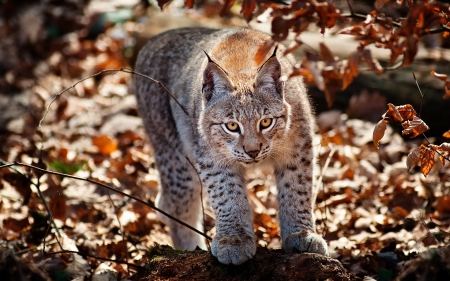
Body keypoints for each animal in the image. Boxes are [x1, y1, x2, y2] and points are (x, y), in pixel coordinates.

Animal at [133, 27, 326, 264]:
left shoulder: (298, 148)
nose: (253, 151)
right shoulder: (212, 156)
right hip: (177, 160)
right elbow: (227, 194)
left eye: (265, 122)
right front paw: (234, 240)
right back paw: (190, 250)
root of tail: (155, 39)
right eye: (232, 126)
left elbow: (297, 189)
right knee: (176, 207)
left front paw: (301, 233)